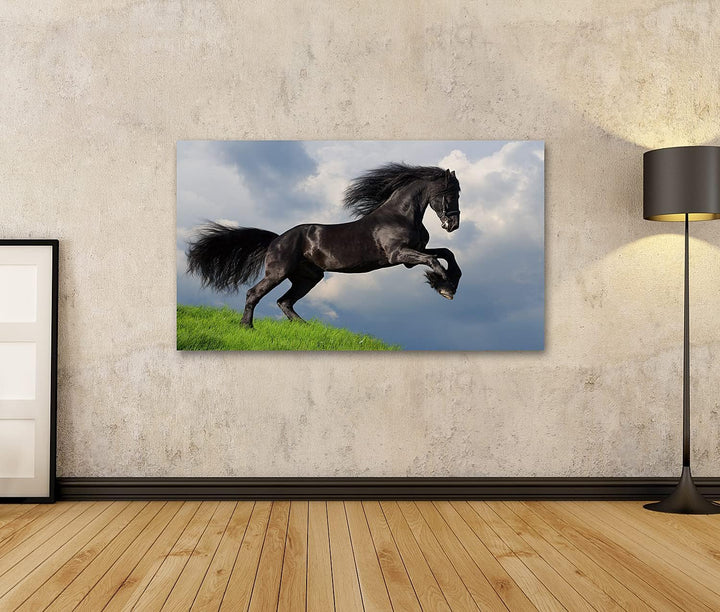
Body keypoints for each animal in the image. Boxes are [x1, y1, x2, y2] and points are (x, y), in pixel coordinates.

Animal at [186, 163, 461, 328]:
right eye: (451, 193)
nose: (453, 224)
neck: (400, 215)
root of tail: (276, 239)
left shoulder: (410, 256)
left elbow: (446, 254)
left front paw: (448, 283)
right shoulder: (398, 255)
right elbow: (435, 260)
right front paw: (444, 287)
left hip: (308, 277)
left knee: (284, 302)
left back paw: (304, 328)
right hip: (279, 272)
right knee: (255, 293)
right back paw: (247, 326)